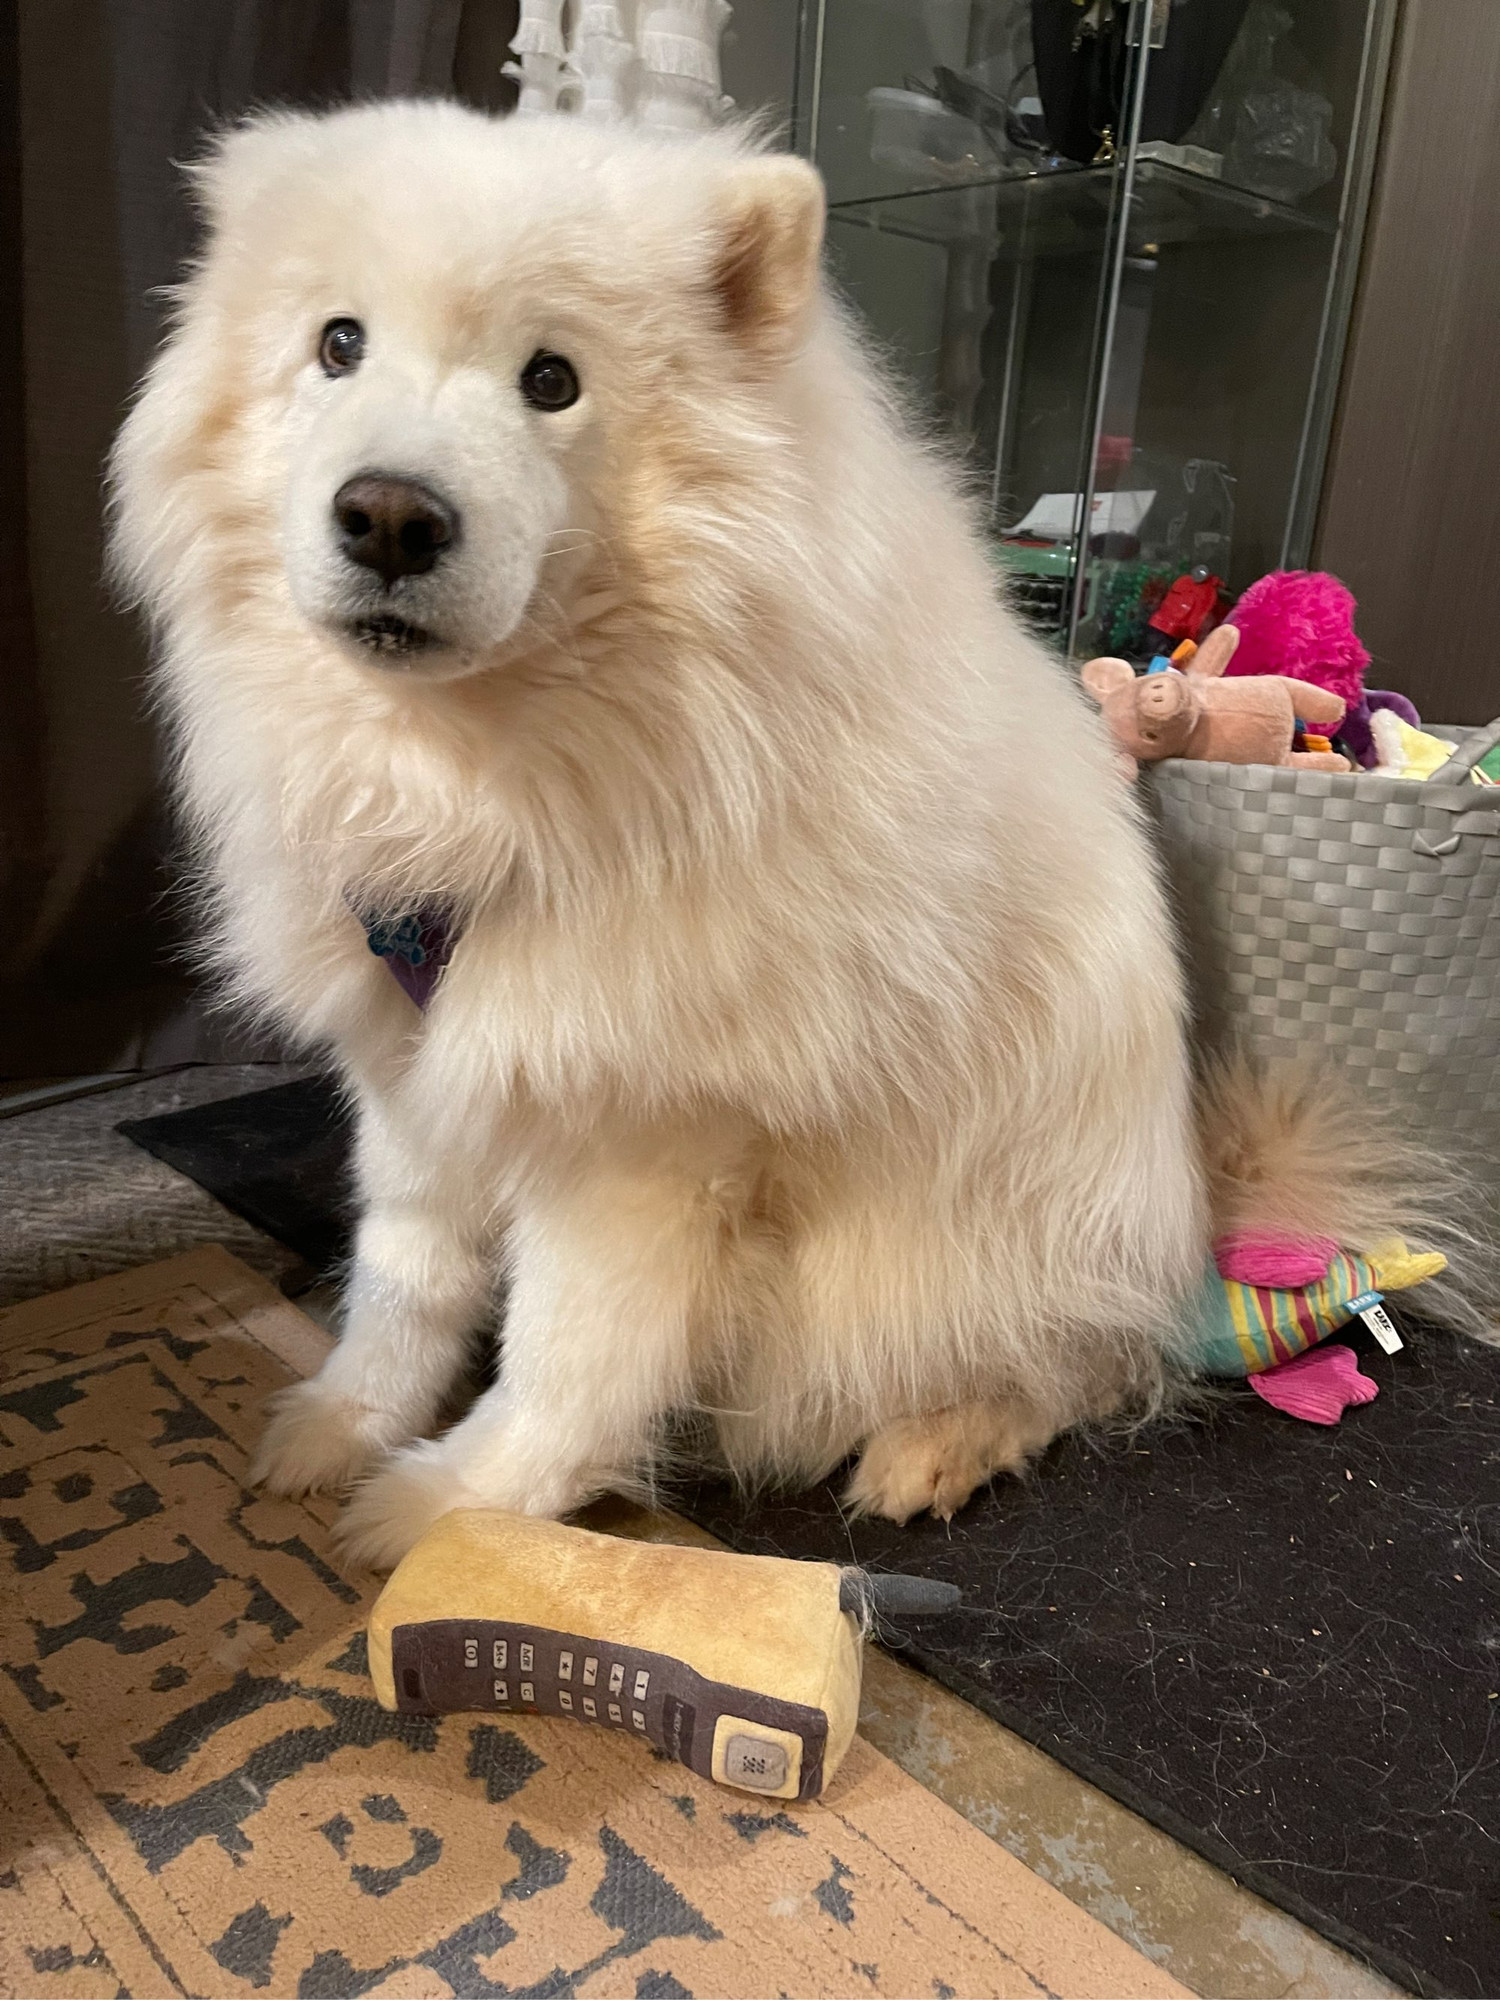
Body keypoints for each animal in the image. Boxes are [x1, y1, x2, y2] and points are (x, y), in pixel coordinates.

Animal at [111, 101, 1408, 1568]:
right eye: (339, 344)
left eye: (551, 379)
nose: (391, 514)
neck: (496, 777)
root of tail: (1202, 1201)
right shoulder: (413, 1065)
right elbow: (406, 1278)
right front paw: (343, 1420)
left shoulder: (644, 1133)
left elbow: (568, 1358)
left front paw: (455, 1507)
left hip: (971, 1247)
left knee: (1085, 1367)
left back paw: (936, 1445)